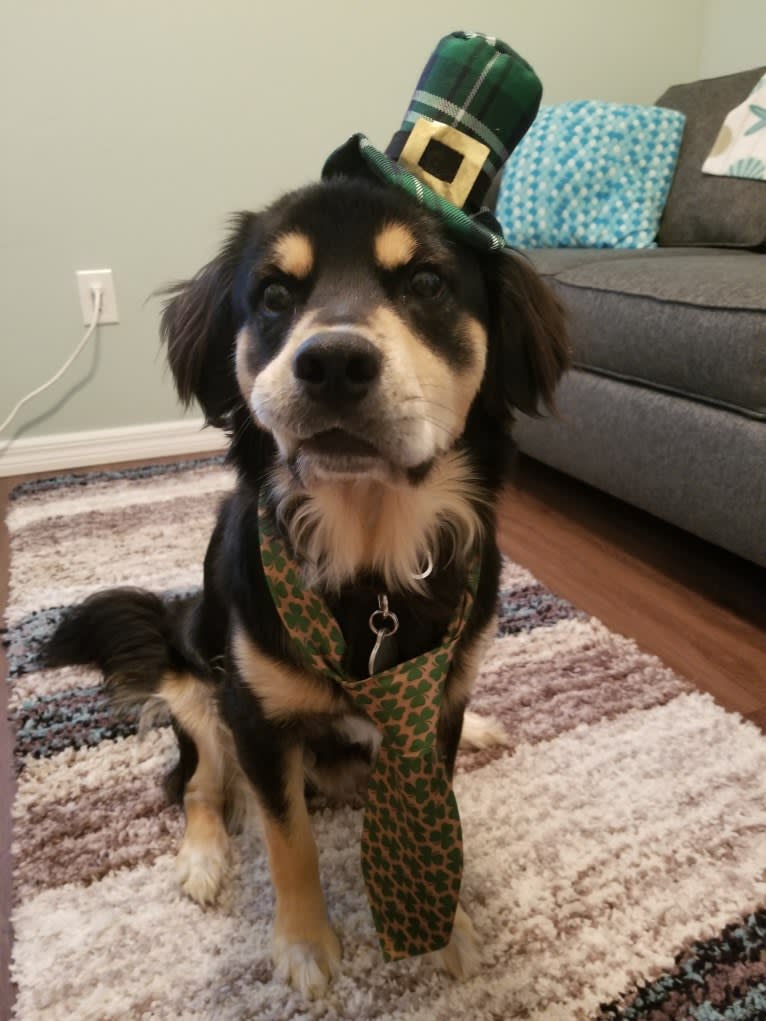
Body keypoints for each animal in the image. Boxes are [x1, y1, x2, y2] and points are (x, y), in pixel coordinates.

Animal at [44, 175, 567, 996]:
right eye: (273, 296)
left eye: (426, 283)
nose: (334, 363)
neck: (371, 561)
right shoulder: (256, 717)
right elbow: (288, 839)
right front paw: (303, 943)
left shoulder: (433, 709)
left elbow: (431, 801)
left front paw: (445, 927)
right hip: (195, 687)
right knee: (195, 784)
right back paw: (204, 859)